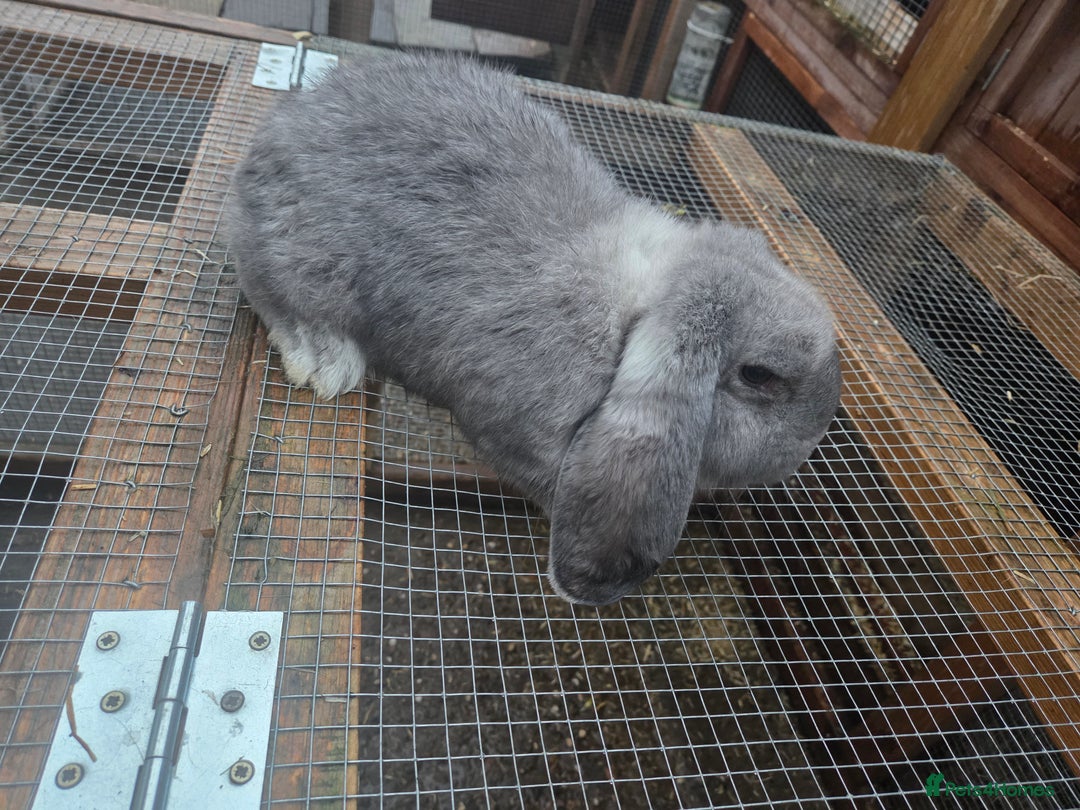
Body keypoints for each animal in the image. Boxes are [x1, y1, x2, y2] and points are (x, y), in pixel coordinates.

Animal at [227, 51, 841, 606]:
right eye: (759, 376)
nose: (805, 451)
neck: (626, 320)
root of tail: (277, 132)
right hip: (301, 259)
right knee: (265, 286)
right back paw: (324, 362)